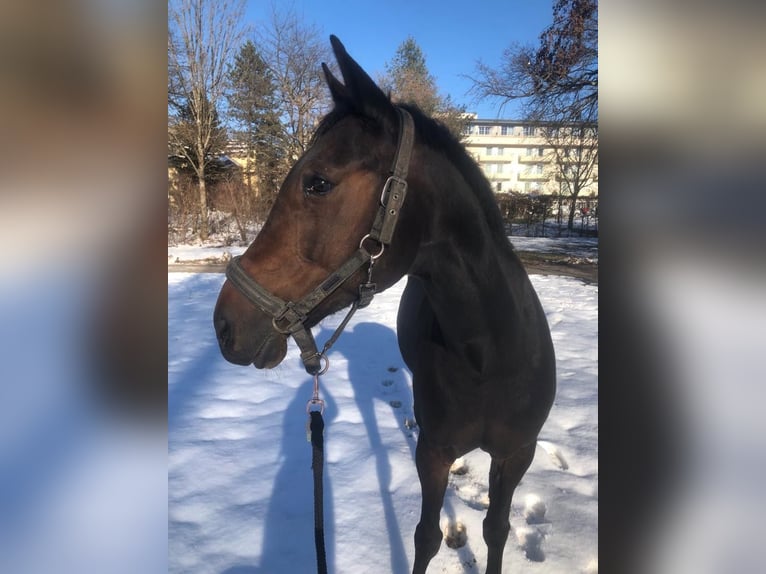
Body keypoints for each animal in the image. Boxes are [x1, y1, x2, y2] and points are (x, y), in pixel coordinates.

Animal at [214, 36, 560, 574]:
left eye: (317, 182)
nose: (225, 325)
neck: (489, 355)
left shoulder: (516, 455)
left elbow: (496, 530)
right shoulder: (434, 453)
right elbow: (426, 536)